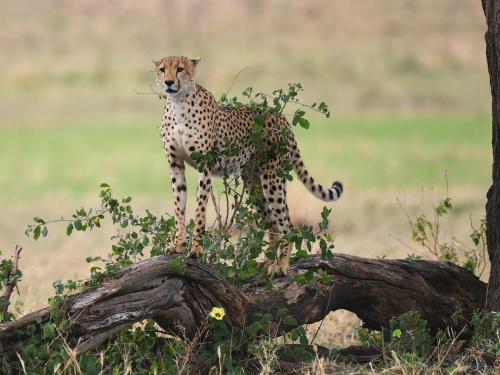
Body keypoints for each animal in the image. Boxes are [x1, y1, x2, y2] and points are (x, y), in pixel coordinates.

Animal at [154, 55, 342, 274]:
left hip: (272, 177)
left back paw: (281, 265)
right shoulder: (175, 164)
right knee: (272, 222)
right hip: (254, 182)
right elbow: (179, 207)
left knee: (287, 223)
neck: (178, 104)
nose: (168, 82)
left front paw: (197, 250)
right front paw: (178, 245)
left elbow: (200, 209)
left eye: (180, 69)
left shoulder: (204, 166)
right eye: (162, 69)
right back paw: (267, 261)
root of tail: (279, 115)